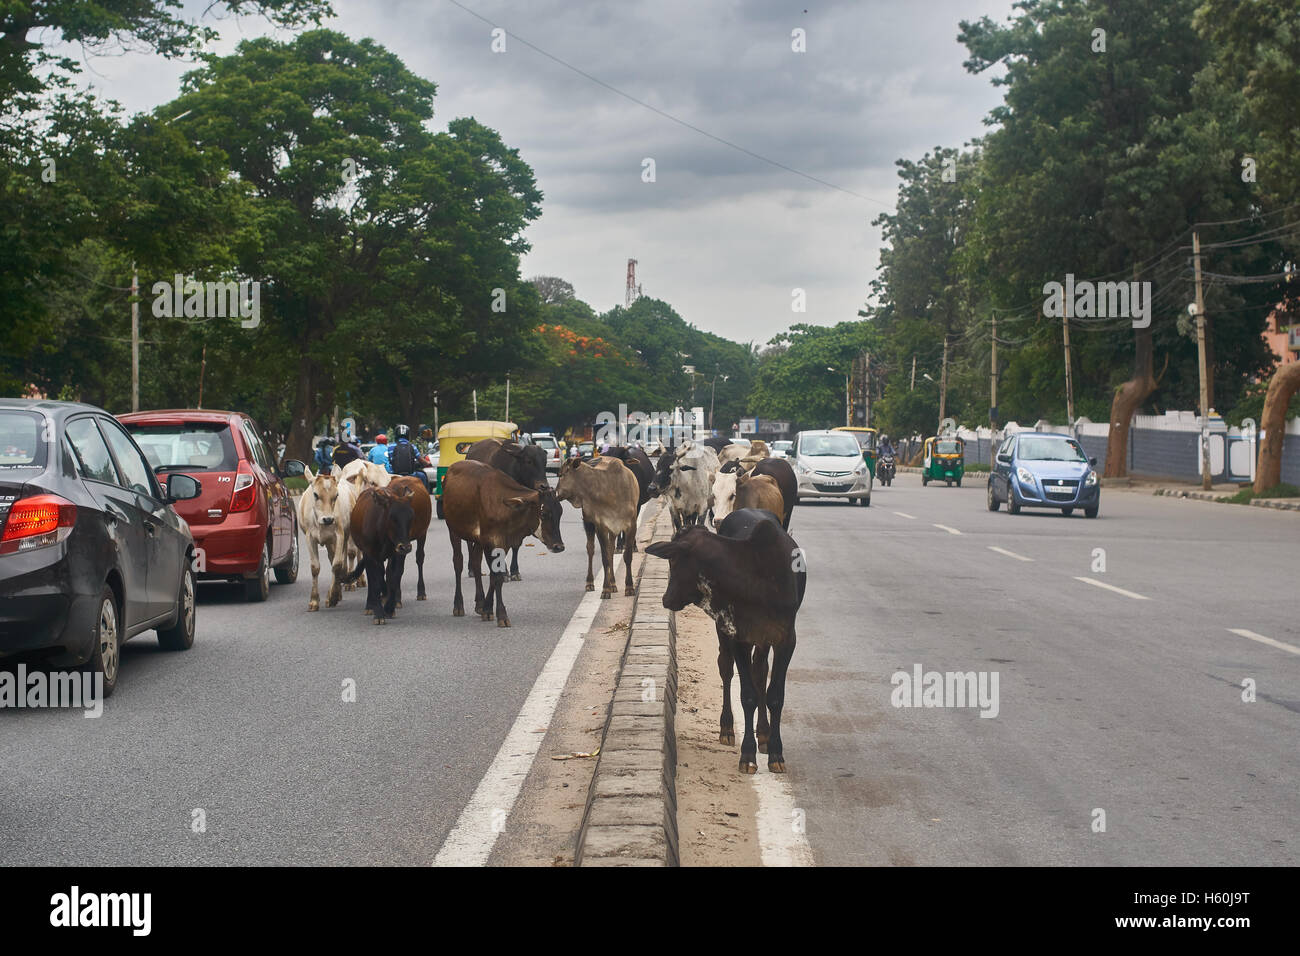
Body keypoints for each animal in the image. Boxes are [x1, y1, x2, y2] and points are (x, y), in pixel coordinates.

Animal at [343, 486, 413, 629]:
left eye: (411, 517)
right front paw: (379, 614)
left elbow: (393, 577)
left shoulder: (396, 554)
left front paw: (389, 608)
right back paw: (370, 605)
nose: (406, 547)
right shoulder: (370, 555)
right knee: (374, 577)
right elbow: (375, 579)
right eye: (392, 517)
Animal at [441, 457, 564, 629]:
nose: (559, 546)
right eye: (544, 513)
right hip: (453, 530)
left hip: (478, 541)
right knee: (458, 563)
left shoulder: (502, 543)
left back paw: (479, 603)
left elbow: (495, 576)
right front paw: (501, 615)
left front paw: (487, 609)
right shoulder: (491, 542)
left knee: (476, 563)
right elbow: (497, 577)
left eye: (560, 513)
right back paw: (458, 605)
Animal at [642, 509, 800, 780]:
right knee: (726, 669)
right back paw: (727, 728)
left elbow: (775, 696)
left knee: (760, 672)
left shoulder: (786, 639)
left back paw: (764, 733)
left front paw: (776, 754)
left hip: (763, 641)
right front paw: (748, 755)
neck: (756, 575)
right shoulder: (737, 635)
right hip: (727, 635)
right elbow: (747, 695)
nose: (665, 599)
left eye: (674, 562)